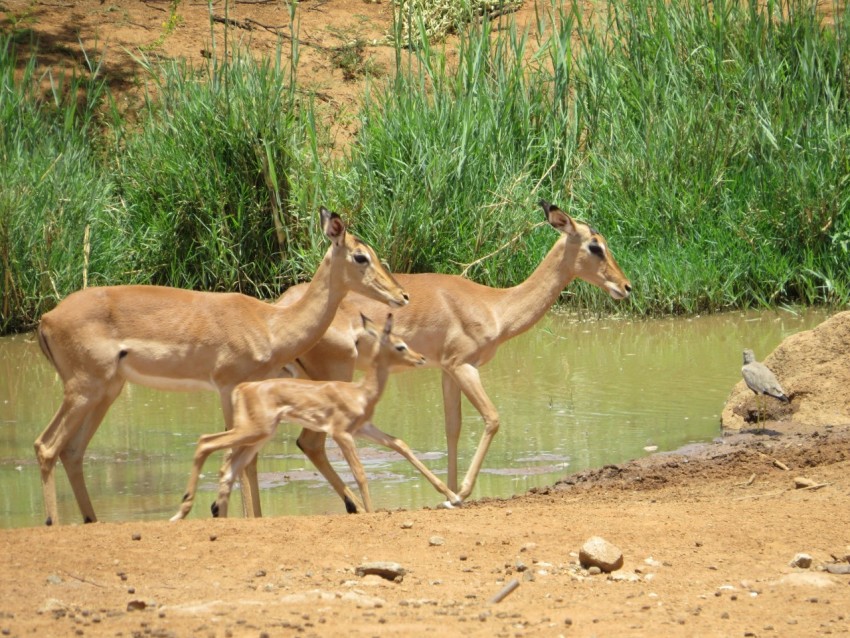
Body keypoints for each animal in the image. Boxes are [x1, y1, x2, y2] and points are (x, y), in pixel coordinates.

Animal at [34, 208, 409, 525]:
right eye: (360, 256)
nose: (402, 295)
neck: (270, 324)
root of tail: (46, 319)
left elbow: (247, 458)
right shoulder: (228, 388)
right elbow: (235, 455)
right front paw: (230, 514)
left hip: (106, 391)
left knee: (72, 451)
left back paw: (91, 520)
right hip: (83, 389)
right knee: (46, 446)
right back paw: (53, 522)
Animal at [170, 312, 447, 520]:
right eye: (400, 345)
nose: (421, 357)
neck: (360, 392)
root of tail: (243, 388)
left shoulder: (364, 428)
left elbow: (400, 444)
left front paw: (449, 493)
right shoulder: (342, 433)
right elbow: (360, 472)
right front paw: (371, 511)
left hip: (257, 435)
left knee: (230, 464)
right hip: (253, 430)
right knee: (208, 443)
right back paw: (188, 509)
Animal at [272, 200, 632, 513]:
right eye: (596, 246)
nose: (626, 287)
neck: (494, 306)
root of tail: (281, 306)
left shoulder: (446, 370)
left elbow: (452, 427)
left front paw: (452, 491)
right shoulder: (464, 366)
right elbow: (492, 418)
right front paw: (459, 494)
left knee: (308, 443)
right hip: (334, 377)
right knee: (312, 441)